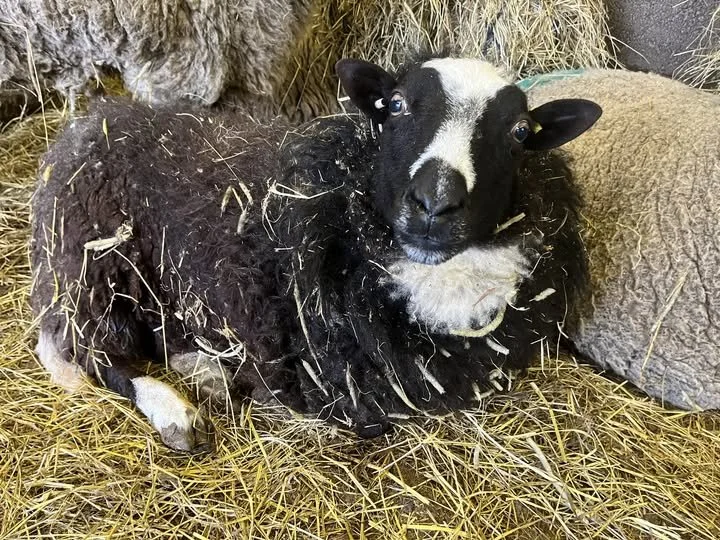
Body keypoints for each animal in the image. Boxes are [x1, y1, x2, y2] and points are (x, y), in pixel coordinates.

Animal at [30, 55, 601, 452]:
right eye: (396, 105)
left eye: (520, 132)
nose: (434, 203)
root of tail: (88, 123)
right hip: (95, 267)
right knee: (99, 354)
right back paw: (175, 412)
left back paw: (206, 374)